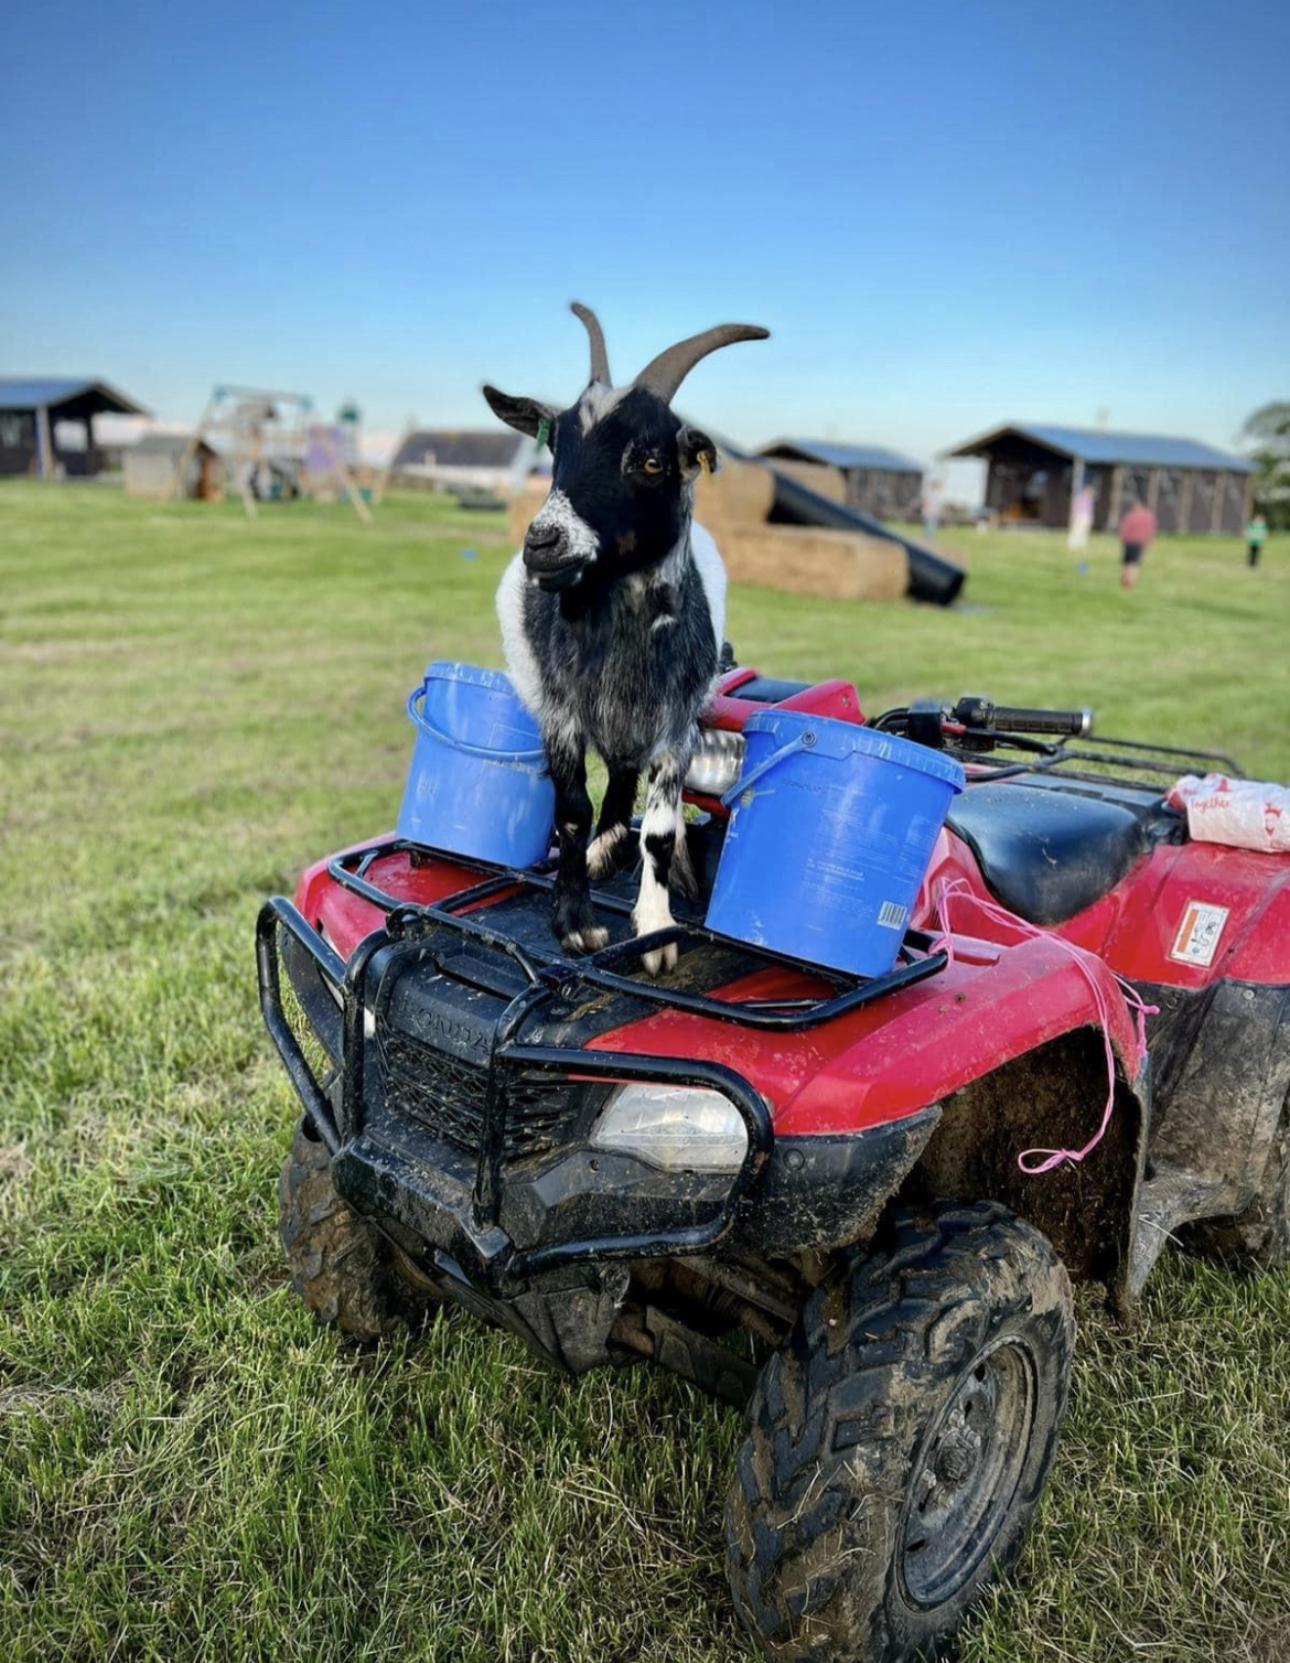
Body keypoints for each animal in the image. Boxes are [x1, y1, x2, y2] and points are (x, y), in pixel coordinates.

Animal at [482, 304, 764, 971]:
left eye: (652, 460)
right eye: (555, 446)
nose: (544, 543)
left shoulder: (676, 724)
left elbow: (658, 831)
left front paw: (656, 930)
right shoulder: (561, 712)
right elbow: (571, 811)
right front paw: (577, 923)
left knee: (625, 782)